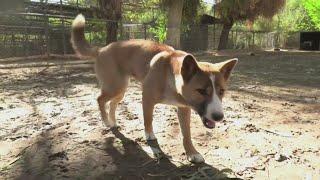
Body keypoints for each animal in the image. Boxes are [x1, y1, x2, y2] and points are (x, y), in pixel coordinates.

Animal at [72, 14, 238, 163]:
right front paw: (149, 136)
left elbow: (187, 134)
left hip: (121, 89)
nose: (219, 117)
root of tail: (101, 49)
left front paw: (192, 152)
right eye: (201, 91)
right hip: (114, 86)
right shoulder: (147, 99)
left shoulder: (184, 108)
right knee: (100, 99)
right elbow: (148, 119)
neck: (170, 76)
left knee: (112, 103)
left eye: (221, 91)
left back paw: (112, 121)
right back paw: (106, 121)